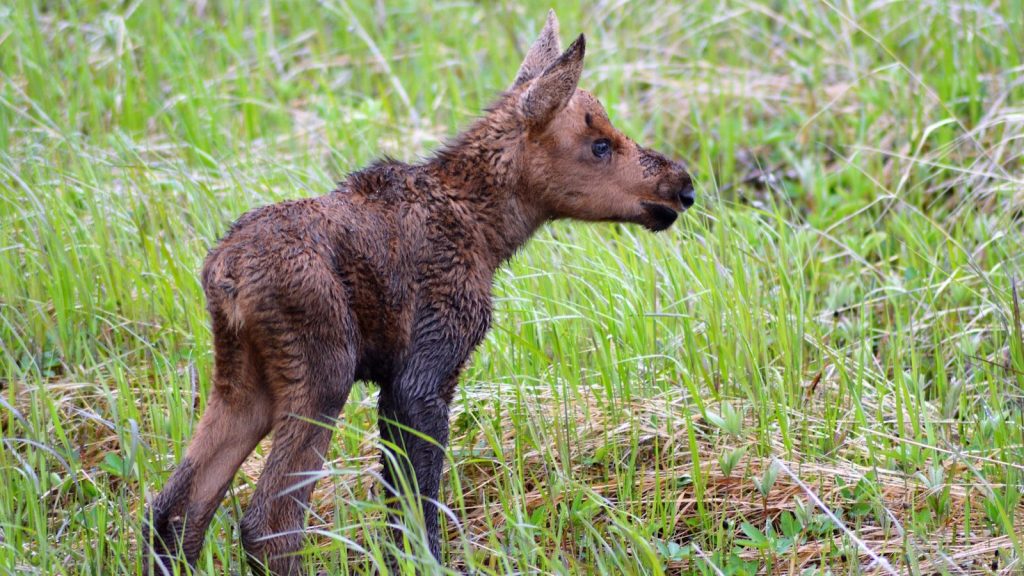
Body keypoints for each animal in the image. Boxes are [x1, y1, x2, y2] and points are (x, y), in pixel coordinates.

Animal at [144, 10, 694, 575]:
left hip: (243, 380)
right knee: (267, 525)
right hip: (323, 372)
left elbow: (399, 511)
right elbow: (420, 508)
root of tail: (224, 274)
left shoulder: (395, 383)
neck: (490, 235)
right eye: (600, 144)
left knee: (174, 511)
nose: (683, 186)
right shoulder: (424, 373)